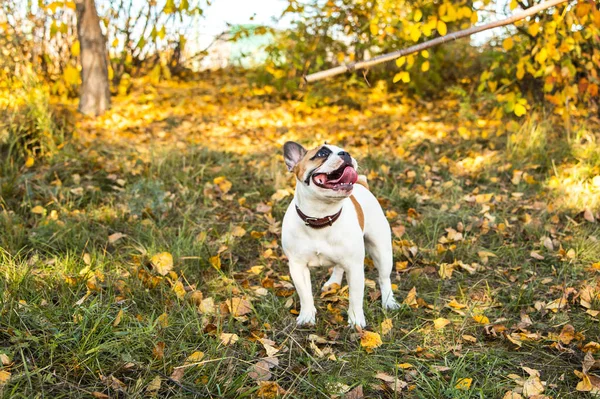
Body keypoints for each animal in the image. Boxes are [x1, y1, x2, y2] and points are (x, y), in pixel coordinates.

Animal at [280, 141, 398, 328]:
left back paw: (388, 301)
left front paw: (356, 320)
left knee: (384, 277)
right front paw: (307, 315)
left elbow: (355, 297)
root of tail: (362, 185)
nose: (346, 153)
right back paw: (333, 282)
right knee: (338, 266)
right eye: (322, 153)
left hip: (382, 250)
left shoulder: (355, 267)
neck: (321, 216)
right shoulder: (298, 267)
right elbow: (304, 294)